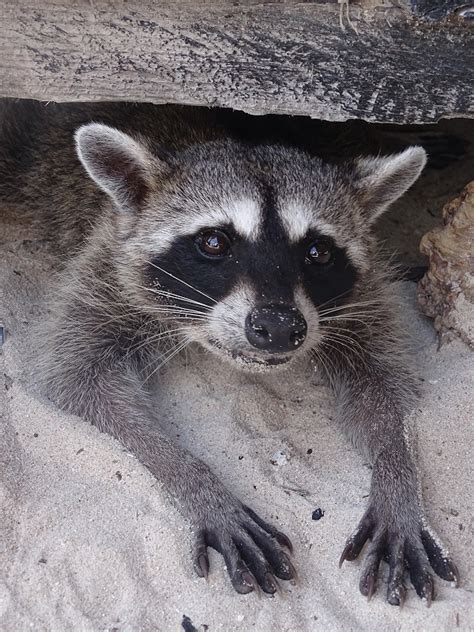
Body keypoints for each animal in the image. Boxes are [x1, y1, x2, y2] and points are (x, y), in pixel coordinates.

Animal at [0, 101, 460, 604]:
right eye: (214, 241)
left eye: (317, 251)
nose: (278, 328)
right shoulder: (108, 268)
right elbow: (80, 380)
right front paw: (195, 480)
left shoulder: (364, 294)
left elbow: (384, 387)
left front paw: (398, 477)